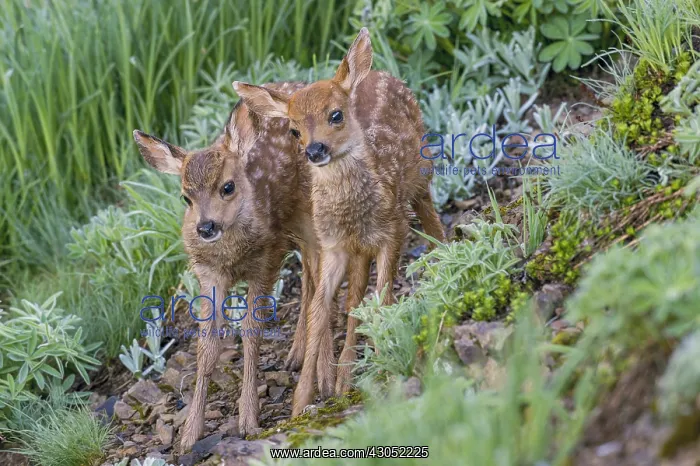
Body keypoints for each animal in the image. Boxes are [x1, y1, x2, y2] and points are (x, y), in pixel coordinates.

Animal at [132, 82, 338, 452]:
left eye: (227, 187)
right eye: (186, 197)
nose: (205, 227)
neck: (232, 254)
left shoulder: (265, 261)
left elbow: (252, 332)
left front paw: (249, 421)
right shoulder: (208, 274)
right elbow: (207, 344)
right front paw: (189, 435)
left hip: (312, 212)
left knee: (318, 272)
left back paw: (325, 377)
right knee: (311, 272)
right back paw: (297, 355)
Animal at [233, 27, 446, 416]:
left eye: (335, 115)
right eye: (294, 130)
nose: (315, 150)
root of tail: (380, 73)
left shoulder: (392, 230)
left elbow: (383, 294)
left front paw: (383, 361)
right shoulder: (334, 246)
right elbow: (323, 308)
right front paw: (304, 399)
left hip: (422, 177)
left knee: (433, 223)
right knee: (352, 298)